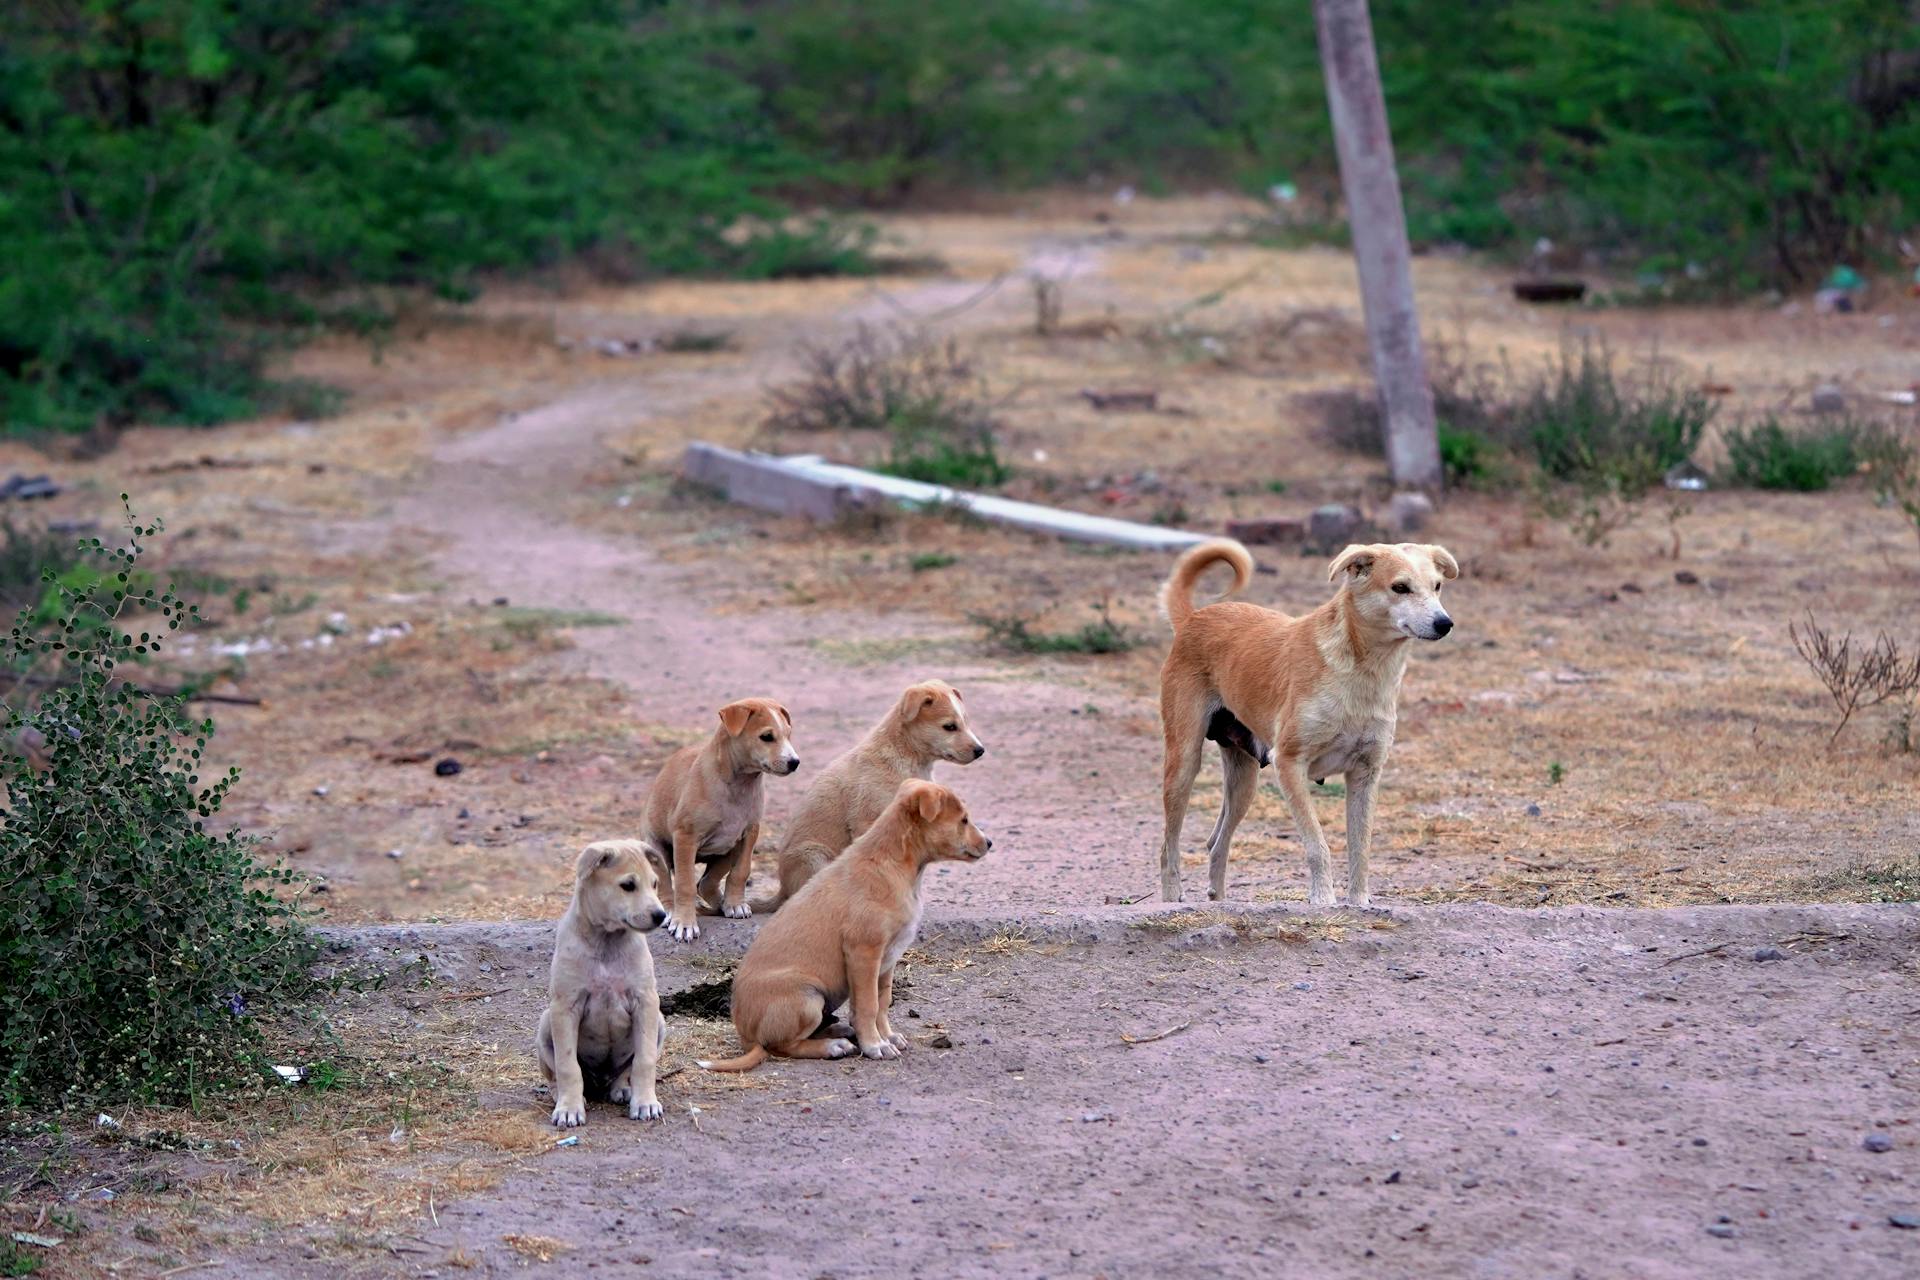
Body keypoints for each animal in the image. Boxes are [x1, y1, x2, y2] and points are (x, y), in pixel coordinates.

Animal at [537, 840, 672, 1128]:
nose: (661, 915)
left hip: (659, 1022)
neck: (607, 941)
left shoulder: (646, 1002)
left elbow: (644, 1061)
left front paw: (645, 1103)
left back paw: (623, 1088)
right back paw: (560, 1095)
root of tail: (600, 1081)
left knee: (625, 1070)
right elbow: (567, 1065)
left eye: (655, 883)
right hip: (545, 1023)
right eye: (628, 885)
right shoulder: (565, 1007)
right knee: (555, 1074)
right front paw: (569, 1108)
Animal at [641, 702, 798, 940]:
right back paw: (670, 911)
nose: (795, 762)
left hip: (727, 849)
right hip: (658, 850)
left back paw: (722, 905)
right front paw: (684, 923)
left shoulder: (749, 833)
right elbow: (685, 884)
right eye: (767, 737)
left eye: (788, 735)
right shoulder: (685, 837)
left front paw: (735, 904)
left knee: (705, 883)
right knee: (667, 884)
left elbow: (740, 872)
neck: (738, 785)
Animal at [698, 782, 990, 1074]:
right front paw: (875, 1045)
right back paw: (832, 1047)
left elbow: (882, 1002)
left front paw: (887, 1036)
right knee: (782, 1046)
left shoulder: (888, 959)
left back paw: (839, 1031)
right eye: (964, 820)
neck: (894, 865)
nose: (989, 843)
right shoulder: (863, 953)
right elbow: (868, 1005)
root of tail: (746, 1036)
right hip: (808, 998)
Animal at [748, 679, 990, 909]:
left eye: (966, 722)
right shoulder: (868, 820)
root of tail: (782, 891)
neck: (905, 754)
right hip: (813, 856)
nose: (980, 751)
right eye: (950, 727)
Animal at [1152, 541, 1451, 909]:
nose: (1445, 623)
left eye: (1437, 586)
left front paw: (1359, 902)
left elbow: (1361, 848)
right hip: (1183, 763)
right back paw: (1171, 897)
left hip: (1243, 781)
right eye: (1400, 587)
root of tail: (1193, 618)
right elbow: (1317, 845)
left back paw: (1220, 901)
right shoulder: (1290, 764)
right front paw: (1323, 899)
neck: (1363, 671)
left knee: (1216, 842)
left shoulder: (1366, 774)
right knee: (1168, 846)